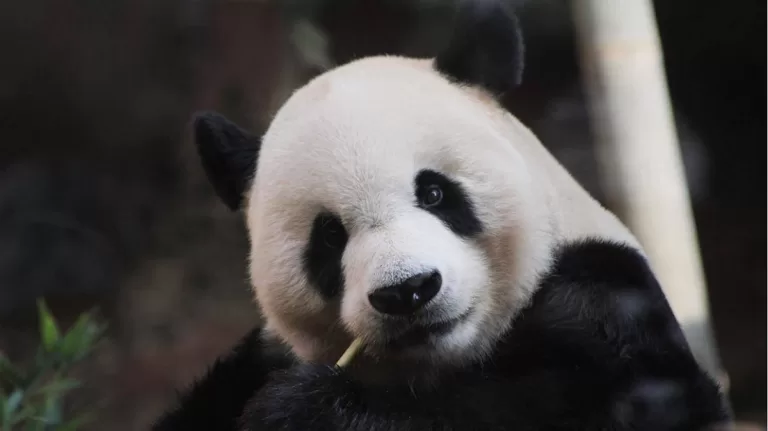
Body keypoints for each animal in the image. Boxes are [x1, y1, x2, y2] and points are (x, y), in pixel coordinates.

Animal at [153, 2, 731, 430]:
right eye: (330, 236)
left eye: (433, 192)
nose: (406, 291)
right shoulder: (256, 361)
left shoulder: (605, 299)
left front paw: (306, 408)